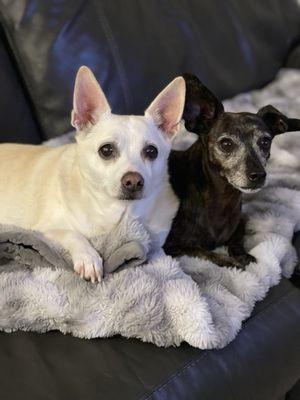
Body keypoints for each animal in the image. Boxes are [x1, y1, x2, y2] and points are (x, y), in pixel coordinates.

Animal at [0, 67, 185, 282]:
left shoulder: (156, 238)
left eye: (151, 151)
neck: (118, 214)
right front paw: (89, 259)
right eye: (106, 150)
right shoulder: (45, 229)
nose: (133, 181)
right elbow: (73, 234)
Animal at [164, 75, 300, 268]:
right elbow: (204, 252)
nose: (258, 175)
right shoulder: (171, 246)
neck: (223, 196)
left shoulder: (242, 219)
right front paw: (231, 262)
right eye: (226, 144)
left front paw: (242, 256)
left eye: (265, 141)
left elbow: (236, 240)